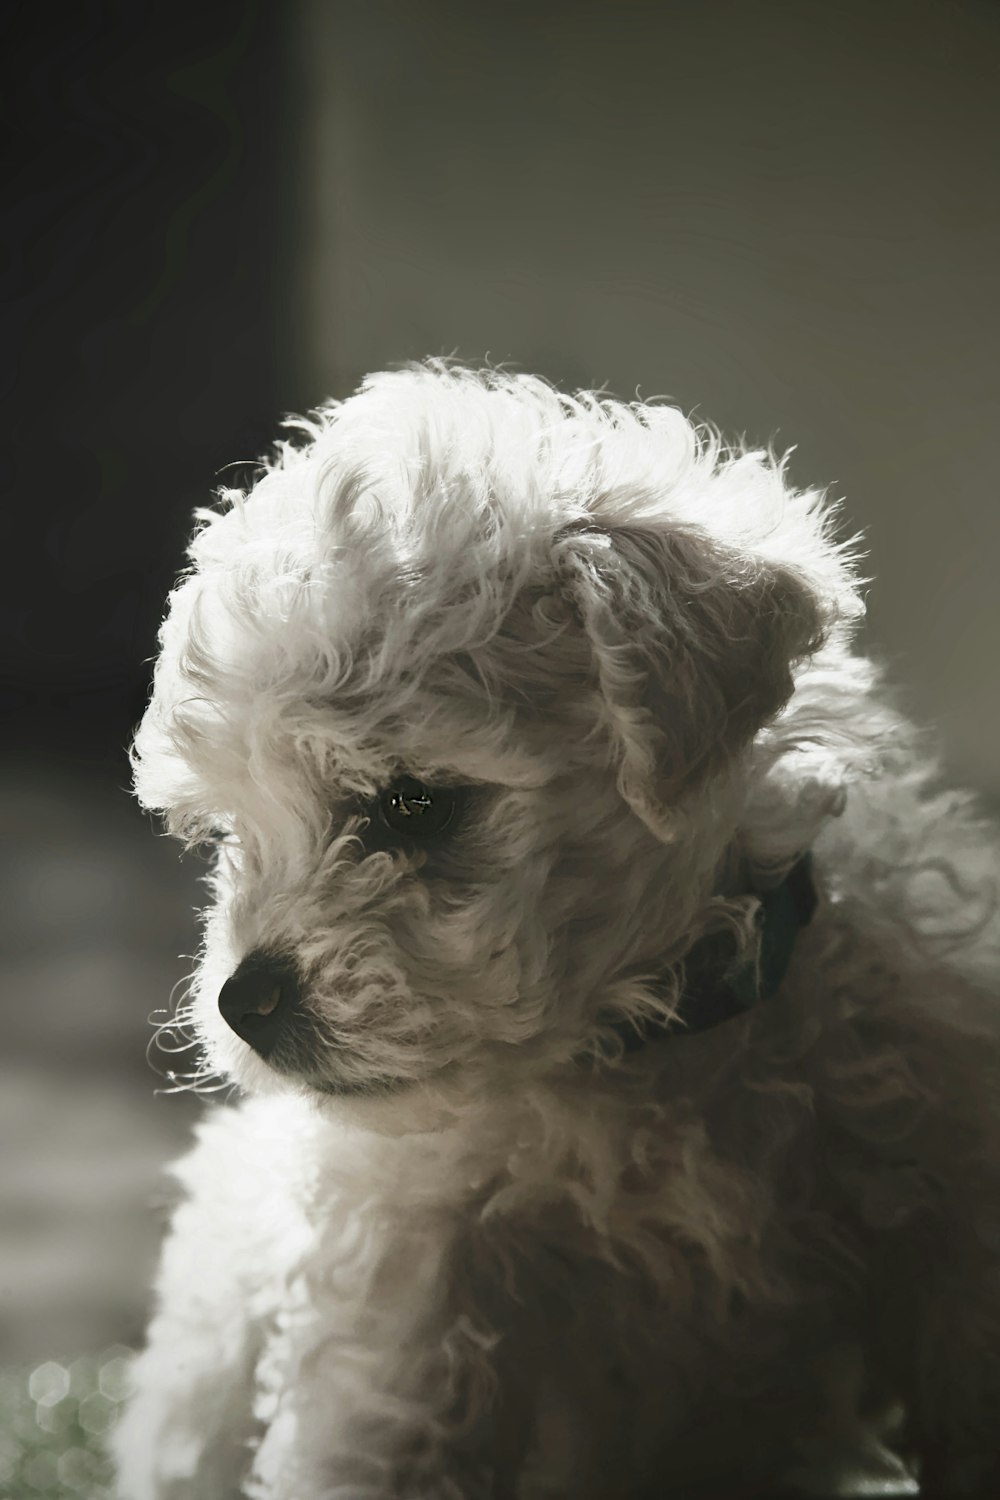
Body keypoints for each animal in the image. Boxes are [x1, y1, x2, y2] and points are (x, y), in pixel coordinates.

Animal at [115, 363, 1000, 1500]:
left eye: (413, 804)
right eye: (228, 832)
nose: (244, 1002)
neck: (643, 1054)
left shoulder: (951, 1223)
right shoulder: (399, 1321)